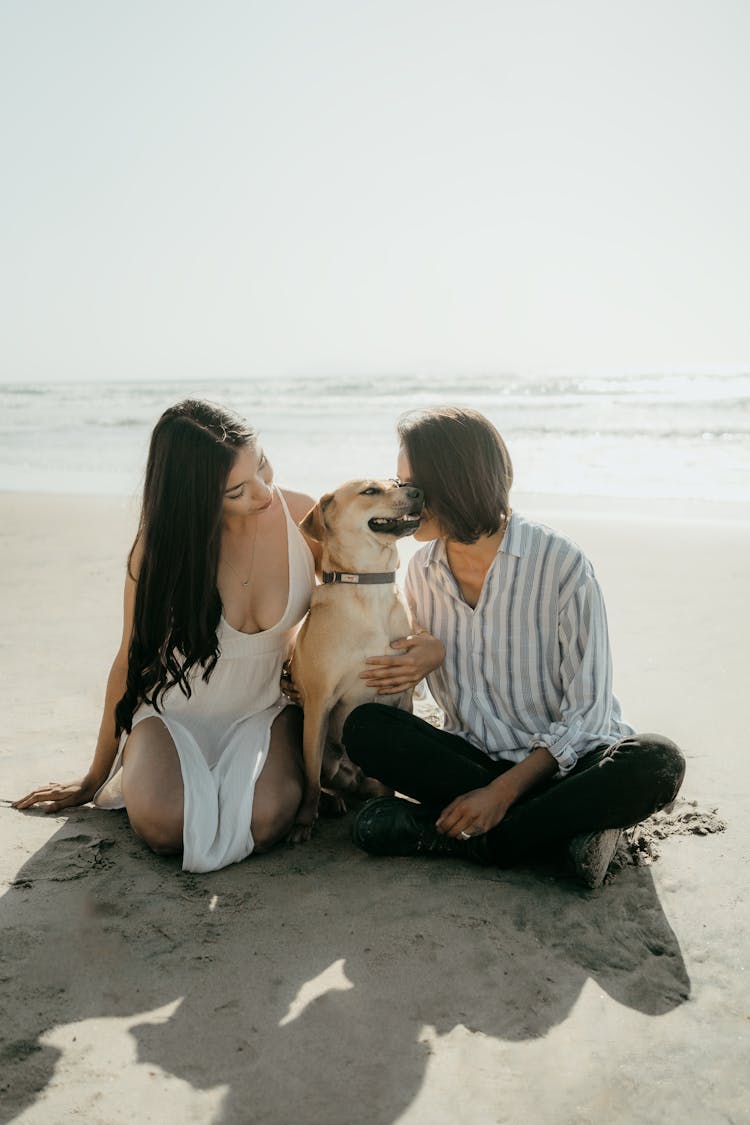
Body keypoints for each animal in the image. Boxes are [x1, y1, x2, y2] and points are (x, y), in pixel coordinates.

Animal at [290, 479, 425, 841]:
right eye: (370, 491)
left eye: (396, 483)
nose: (418, 491)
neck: (370, 586)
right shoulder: (319, 702)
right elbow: (309, 776)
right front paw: (304, 821)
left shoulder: (402, 697)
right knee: (319, 775)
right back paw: (330, 801)